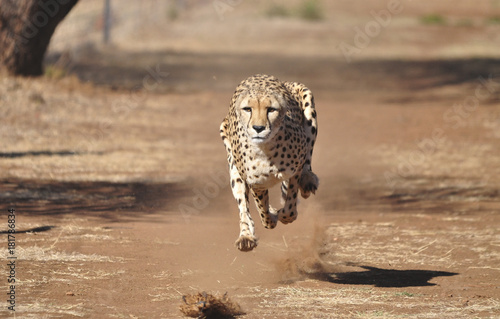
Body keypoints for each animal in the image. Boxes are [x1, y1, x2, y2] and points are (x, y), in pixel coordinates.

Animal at [220, 74, 320, 252]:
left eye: (271, 109)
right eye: (248, 109)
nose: (258, 128)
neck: (266, 149)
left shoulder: (295, 169)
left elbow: (289, 206)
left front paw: (284, 215)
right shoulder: (256, 184)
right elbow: (262, 210)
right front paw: (271, 218)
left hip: (308, 104)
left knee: (308, 154)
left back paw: (308, 181)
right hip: (234, 169)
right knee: (243, 207)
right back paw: (246, 237)